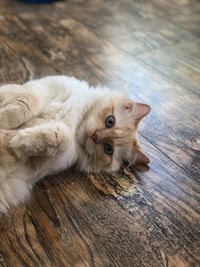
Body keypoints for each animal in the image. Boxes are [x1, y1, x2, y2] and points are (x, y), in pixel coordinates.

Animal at [0, 76, 150, 214]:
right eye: (110, 121)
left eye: (108, 149)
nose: (94, 136)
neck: (75, 121)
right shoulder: (40, 88)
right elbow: (28, 105)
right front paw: (4, 120)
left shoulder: (38, 164)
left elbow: (61, 134)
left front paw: (18, 139)